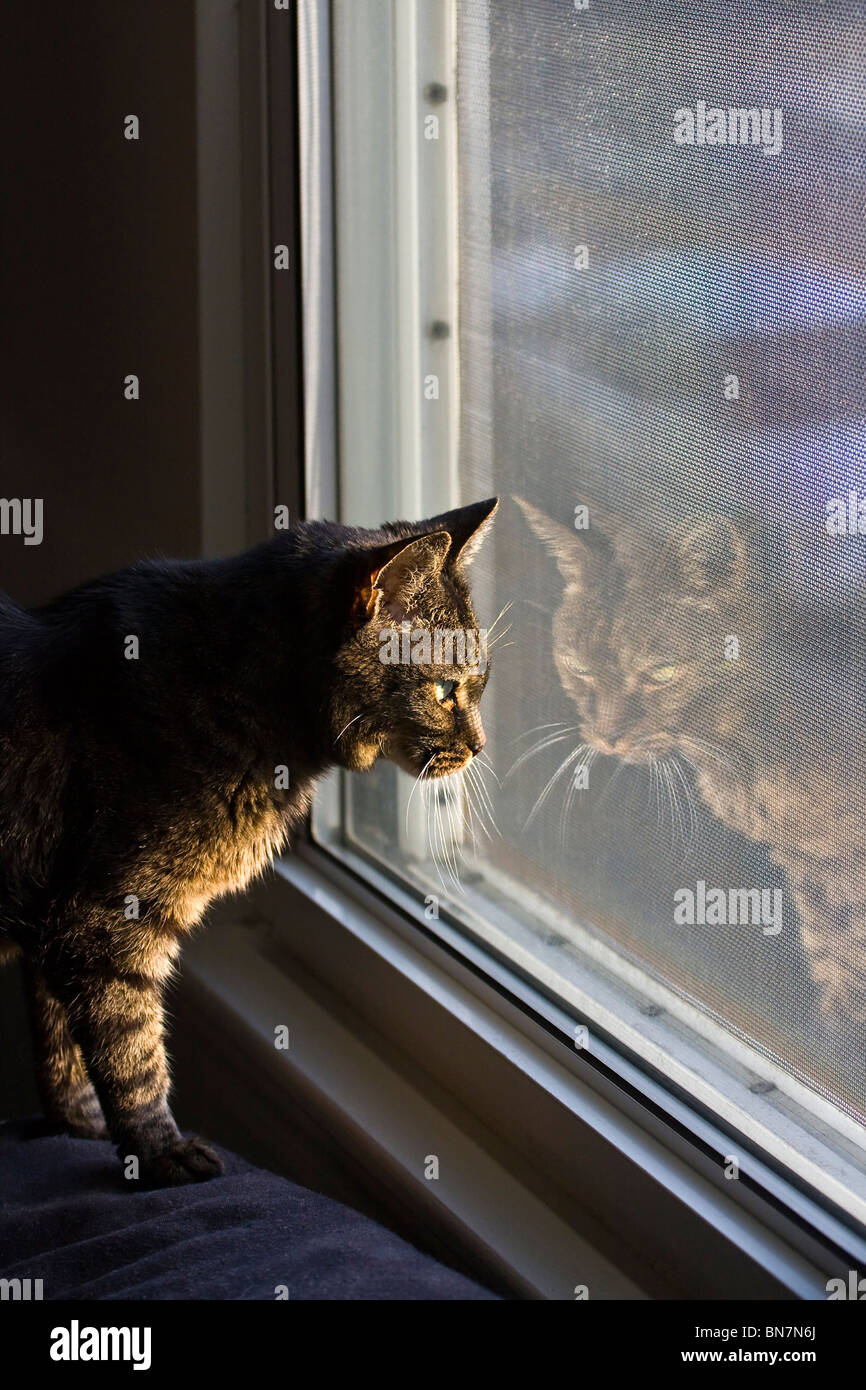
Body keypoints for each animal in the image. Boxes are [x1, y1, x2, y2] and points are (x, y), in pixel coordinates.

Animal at [0, 500, 497, 1184]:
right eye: (446, 689)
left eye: (480, 683)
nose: (480, 745)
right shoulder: (99, 920)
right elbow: (131, 1050)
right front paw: (159, 1153)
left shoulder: (51, 918)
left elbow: (59, 1040)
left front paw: (77, 1125)